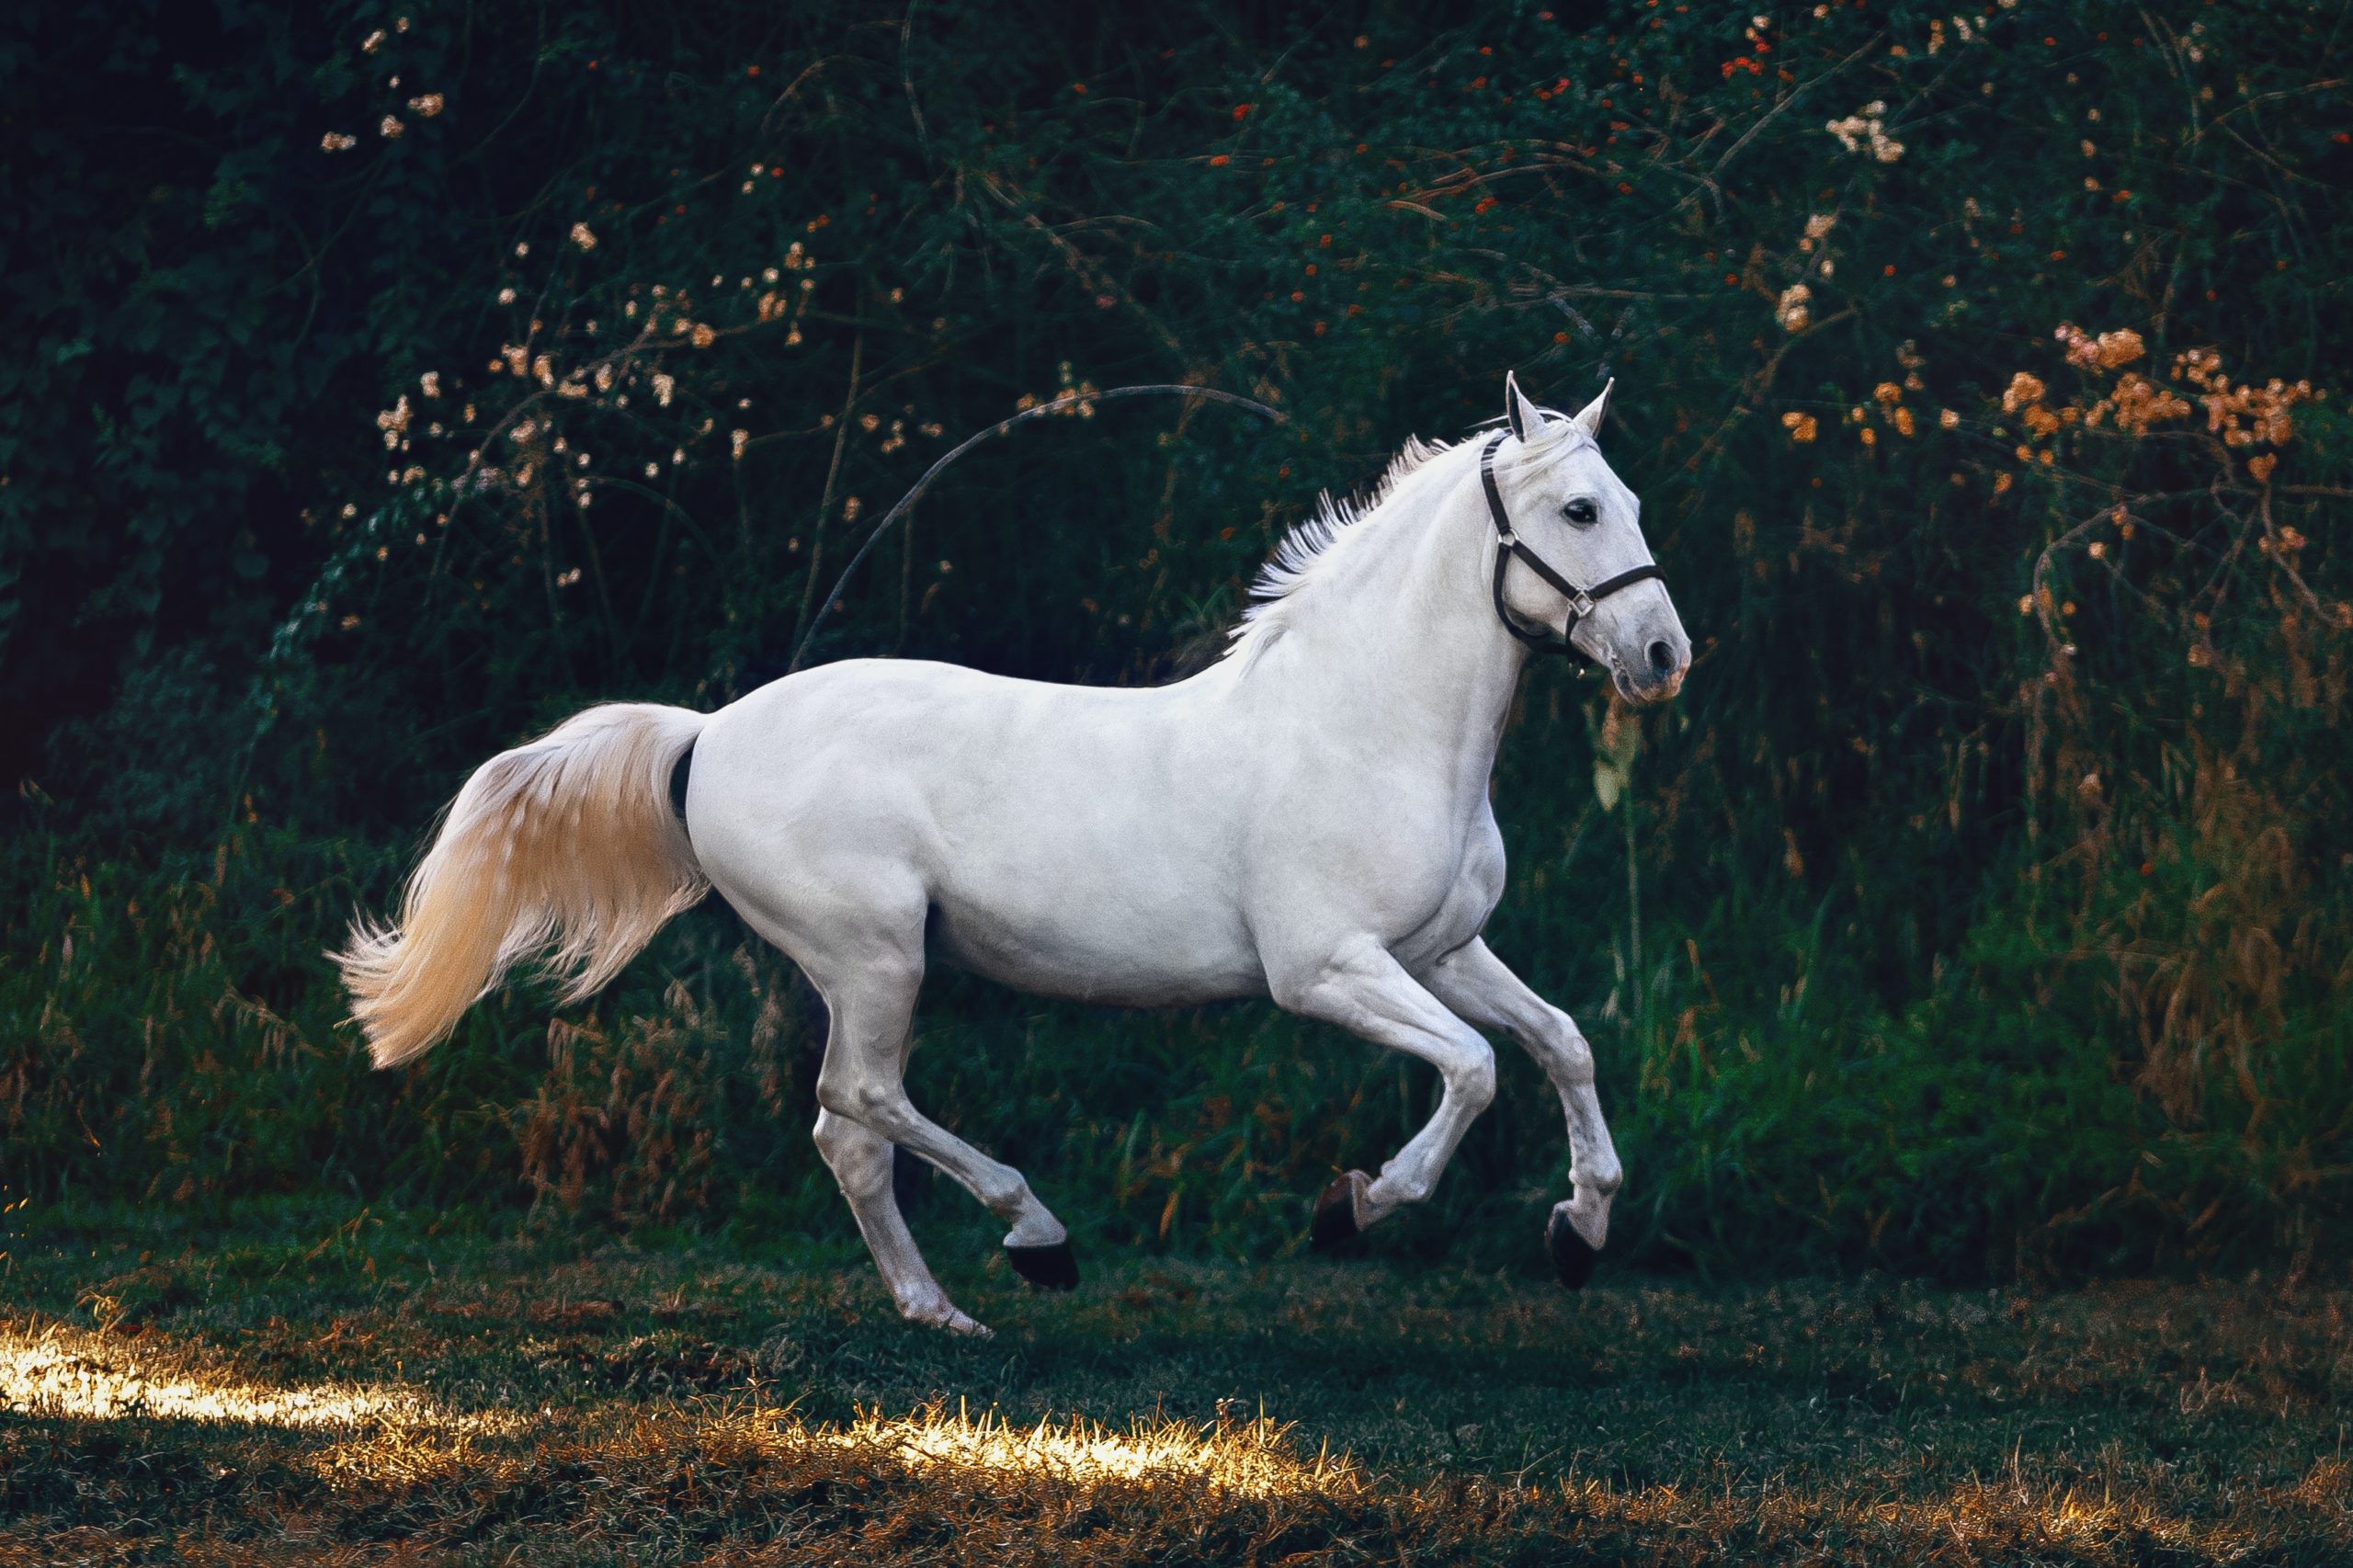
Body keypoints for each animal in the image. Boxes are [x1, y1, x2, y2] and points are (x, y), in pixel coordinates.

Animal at [341, 371, 1684, 1327]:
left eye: (1630, 503)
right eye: (1578, 509)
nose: (1664, 654)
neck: (1365, 724)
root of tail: (707, 734)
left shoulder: (1444, 949)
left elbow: (1561, 1043)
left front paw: (1580, 1231)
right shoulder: (1327, 970)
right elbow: (1474, 1069)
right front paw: (1351, 1207)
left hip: (871, 966)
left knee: (847, 1133)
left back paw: (942, 1310)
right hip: (874, 954)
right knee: (859, 1101)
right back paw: (1034, 1238)